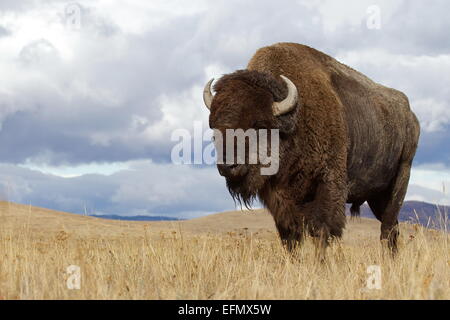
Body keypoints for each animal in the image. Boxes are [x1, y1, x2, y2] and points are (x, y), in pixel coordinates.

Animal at [202, 42, 420, 255]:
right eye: (215, 129)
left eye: (260, 125)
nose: (228, 166)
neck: (295, 120)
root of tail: (410, 116)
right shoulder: (279, 198)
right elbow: (290, 234)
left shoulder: (328, 184)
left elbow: (321, 230)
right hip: (376, 196)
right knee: (392, 228)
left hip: (400, 179)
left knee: (388, 226)